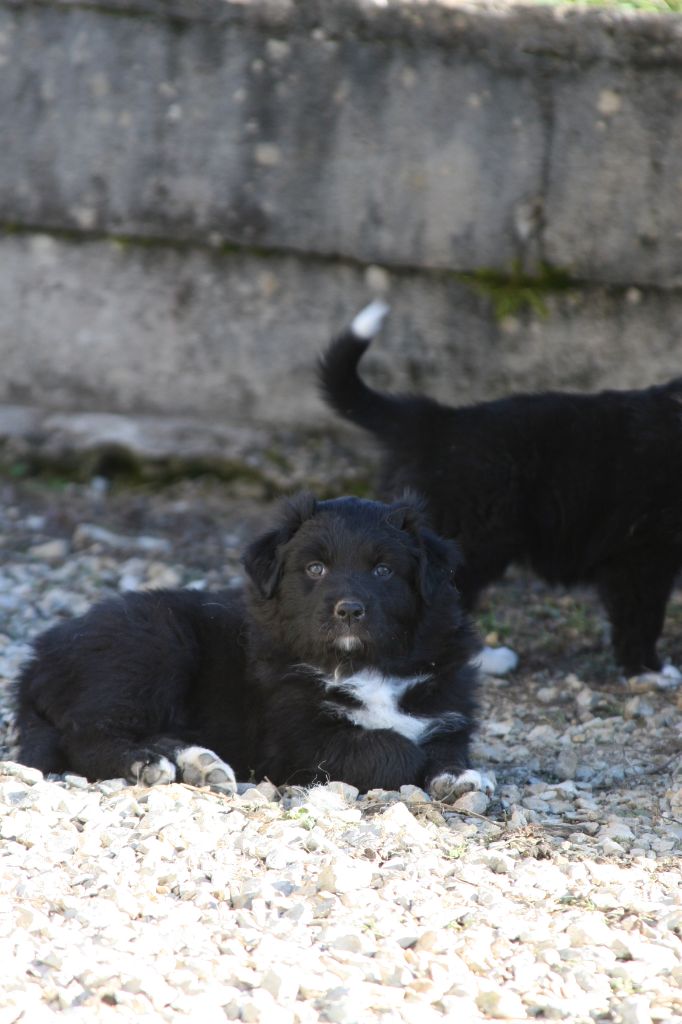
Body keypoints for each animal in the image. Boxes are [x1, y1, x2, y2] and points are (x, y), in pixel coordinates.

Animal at [15, 489, 489, 798]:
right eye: (315, 568)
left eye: (384, 571)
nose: (350, 610)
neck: (363, 663)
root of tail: (40, 654)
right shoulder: (300, 740)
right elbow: (393, 749)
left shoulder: (446, 707)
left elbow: (444, 744)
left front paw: (456, 776)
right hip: (151, 648)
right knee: (85, 736)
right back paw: (146, 764)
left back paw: (200, 764)